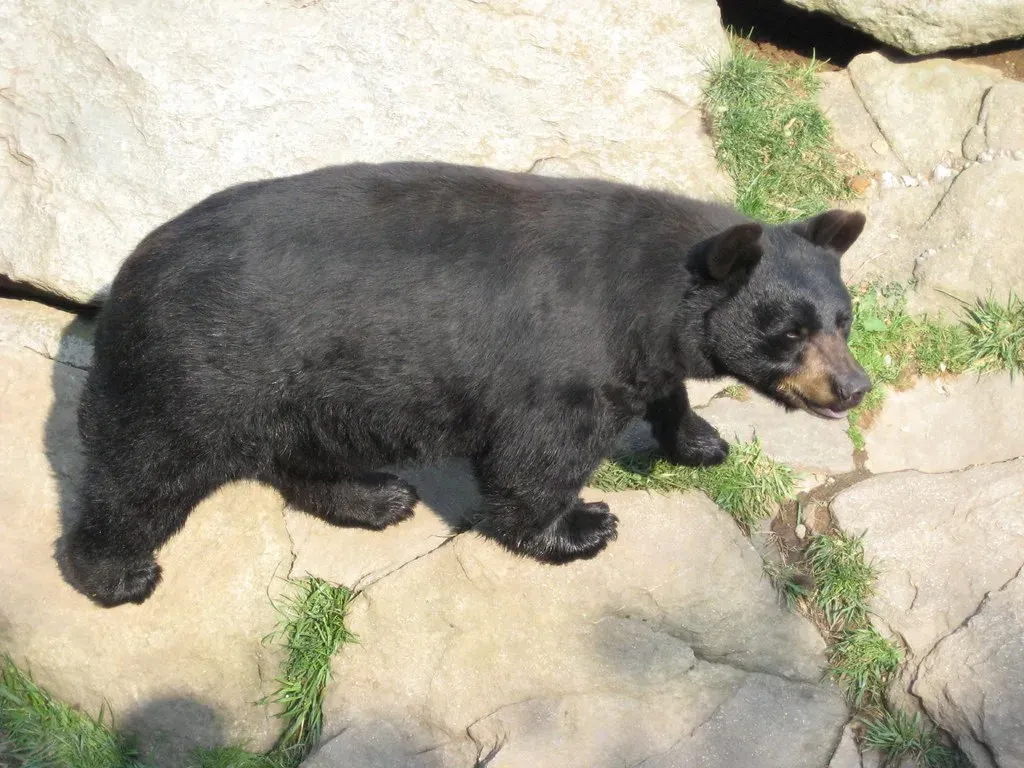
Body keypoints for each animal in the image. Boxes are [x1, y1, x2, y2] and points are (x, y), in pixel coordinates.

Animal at [59, 161, 871, 608]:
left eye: (843, 318)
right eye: (791, 332)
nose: (855, 387)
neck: (651, 293)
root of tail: (128, 272)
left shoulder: (646, 349)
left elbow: (662, 391)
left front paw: (699, 439)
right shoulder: (566, 354)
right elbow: (537, 455)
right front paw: (583, 525)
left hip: (308, 389)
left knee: (302, 453)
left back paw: (375, 497)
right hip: (200, 371)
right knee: (144, 471)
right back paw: (116, 574)